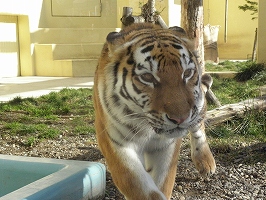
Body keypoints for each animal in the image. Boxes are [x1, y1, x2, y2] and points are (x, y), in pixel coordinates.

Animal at [93, 22, 216, 199]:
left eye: (187, 73)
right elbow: (139, 186)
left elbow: (164, 182)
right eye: (147, 77)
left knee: (198, 127)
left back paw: (206, 162)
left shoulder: (166, 145)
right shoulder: (115, 143)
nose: (180, 118)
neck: (147, 128)